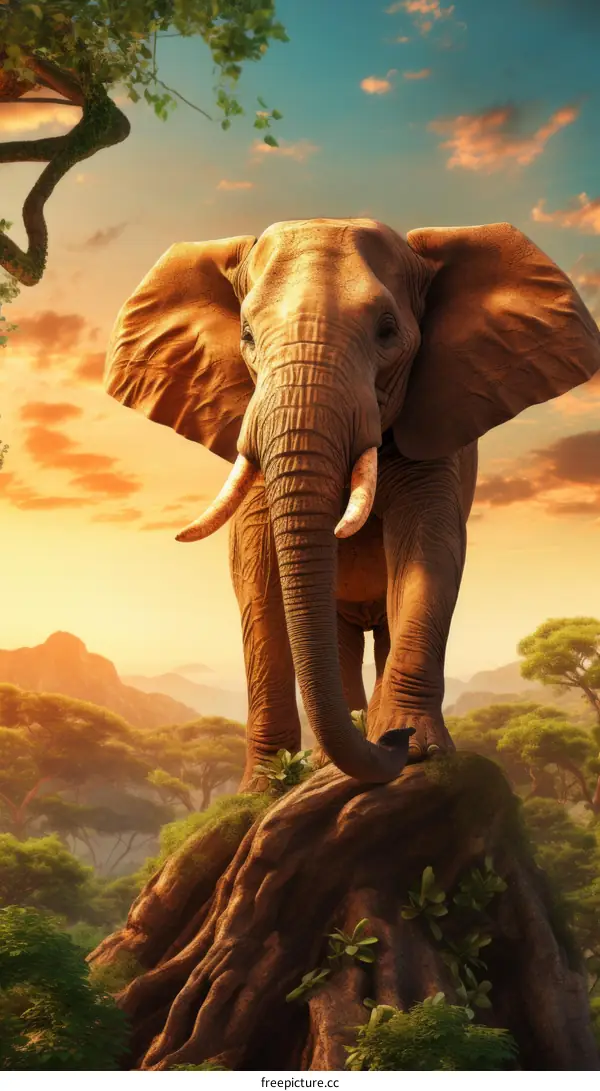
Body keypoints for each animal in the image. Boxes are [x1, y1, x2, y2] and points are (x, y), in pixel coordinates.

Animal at [103, 218, 600, 787]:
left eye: (387, 330)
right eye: (246, 335)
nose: (392, 743)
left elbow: (431, 547)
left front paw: (417, 749)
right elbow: (255, 573)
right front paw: (261, 788)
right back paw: (327, 760)